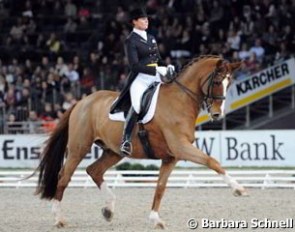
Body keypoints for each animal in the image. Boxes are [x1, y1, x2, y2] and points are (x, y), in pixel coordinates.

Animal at [35, 55, 250, 229]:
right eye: (217, 81)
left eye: (229, 82)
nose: (217, 114)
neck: (180, 101)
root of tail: (81, 102)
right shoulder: (181, 147)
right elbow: (211, 161)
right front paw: (238, 189)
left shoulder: (171, 157)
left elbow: (160, 187)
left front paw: (155, 219)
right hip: (79, 148)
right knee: (64, 177)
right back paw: (59, 219)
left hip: (113, 151)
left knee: (94, 170)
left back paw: (108, 209)